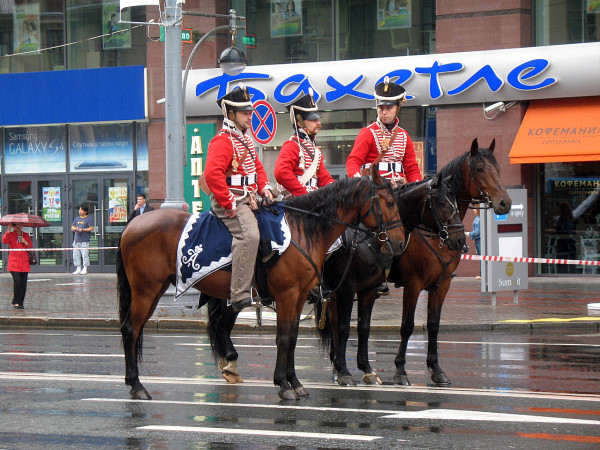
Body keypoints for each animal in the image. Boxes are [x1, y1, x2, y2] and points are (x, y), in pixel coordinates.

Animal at [116, 167, 404, 400]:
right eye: (389, 202)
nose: (399, 243)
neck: (304, 228)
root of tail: (131, 225)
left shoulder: (301, 297)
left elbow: (294, 337)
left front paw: (295, 382)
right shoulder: (291, 295)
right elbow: (286, 337)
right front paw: (284, 384)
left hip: (159, 292)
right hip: (146, 290)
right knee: (131, 329)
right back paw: (136, 385)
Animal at [322, 138, 512, 386]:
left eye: (498, 169)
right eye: (479, 168)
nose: (505, 203)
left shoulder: (441, 285)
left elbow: (433, 325)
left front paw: (436, 369)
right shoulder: (413, 284)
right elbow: (407, 326)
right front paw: (400, 370)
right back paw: (339, 369)